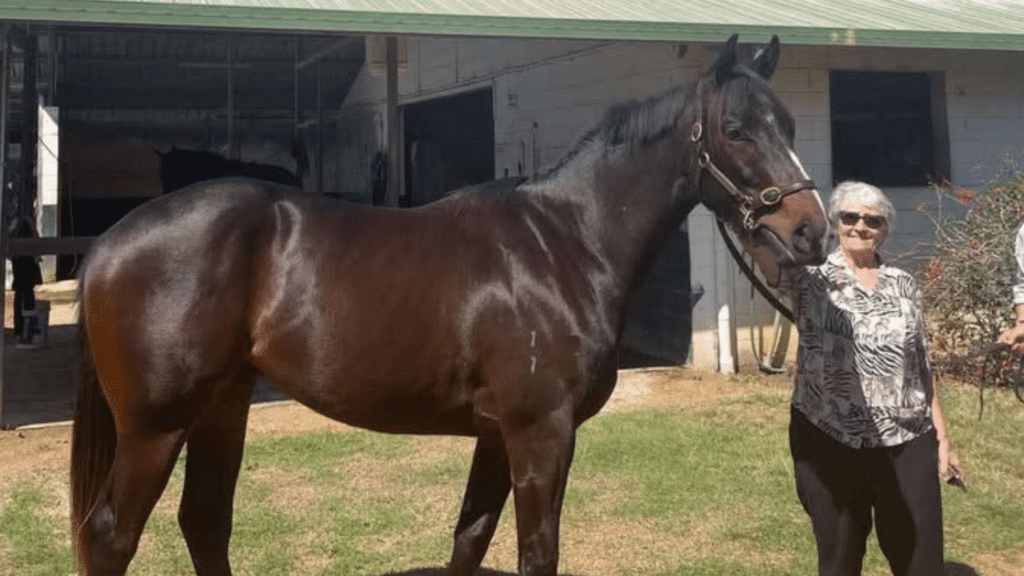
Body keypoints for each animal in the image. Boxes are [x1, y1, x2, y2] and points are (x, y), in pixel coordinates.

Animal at [71, 34, 829, 576]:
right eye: (737, 130)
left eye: (791, 125)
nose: (812, 232)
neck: (565, 245)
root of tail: (111, 243)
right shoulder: (539, 432)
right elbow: (536, 552)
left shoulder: (495, 437)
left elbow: (470, 540)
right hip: (156, 427)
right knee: (113, 537)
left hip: (223, 407)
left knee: (204, 522)